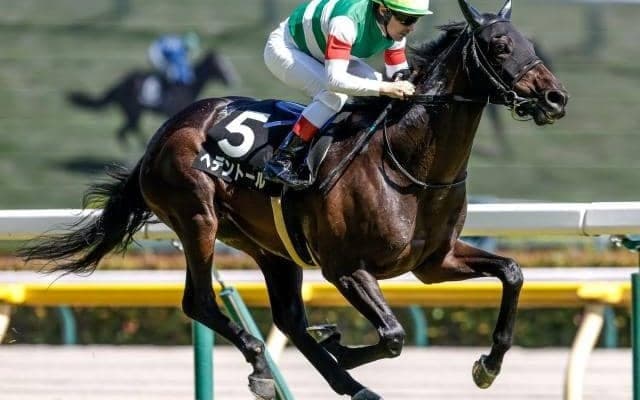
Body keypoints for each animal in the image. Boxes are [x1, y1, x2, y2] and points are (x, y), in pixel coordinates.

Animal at [66, 50, 239, 146]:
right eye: (221, 64)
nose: (232, 79)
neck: (187, 85)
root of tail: (119, 85)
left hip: (133, 113)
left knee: (124, 132)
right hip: (133, 111)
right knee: (125, 131)